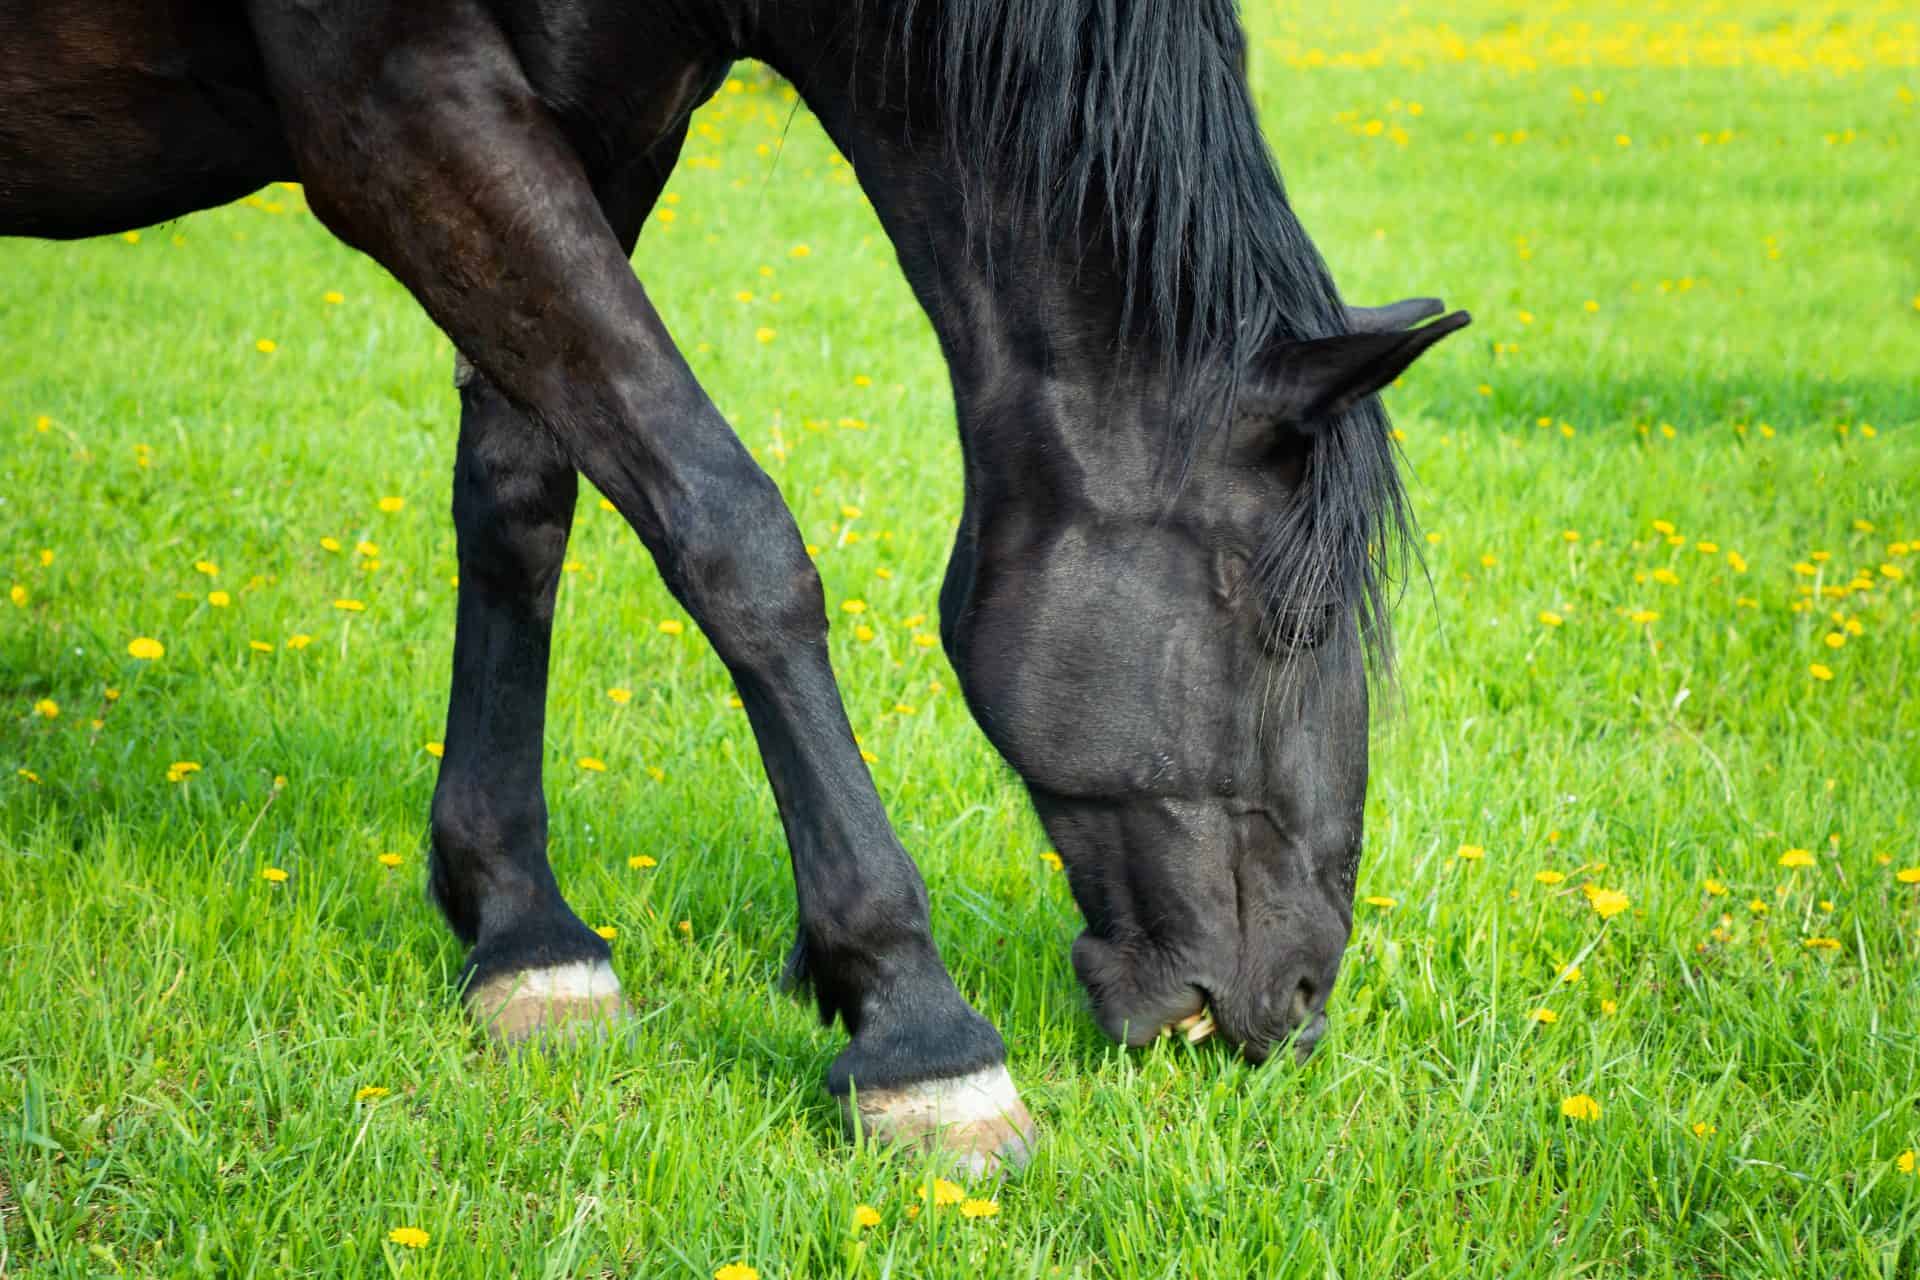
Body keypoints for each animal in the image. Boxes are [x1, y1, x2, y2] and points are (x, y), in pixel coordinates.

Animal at [0, 0, 1468, 1174]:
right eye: (1296, 617)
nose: (1301, 995)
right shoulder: (395, 109)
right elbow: (731, 530)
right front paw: (915, 1025)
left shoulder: (600, 129)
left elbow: (523, 499)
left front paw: (523, 931)